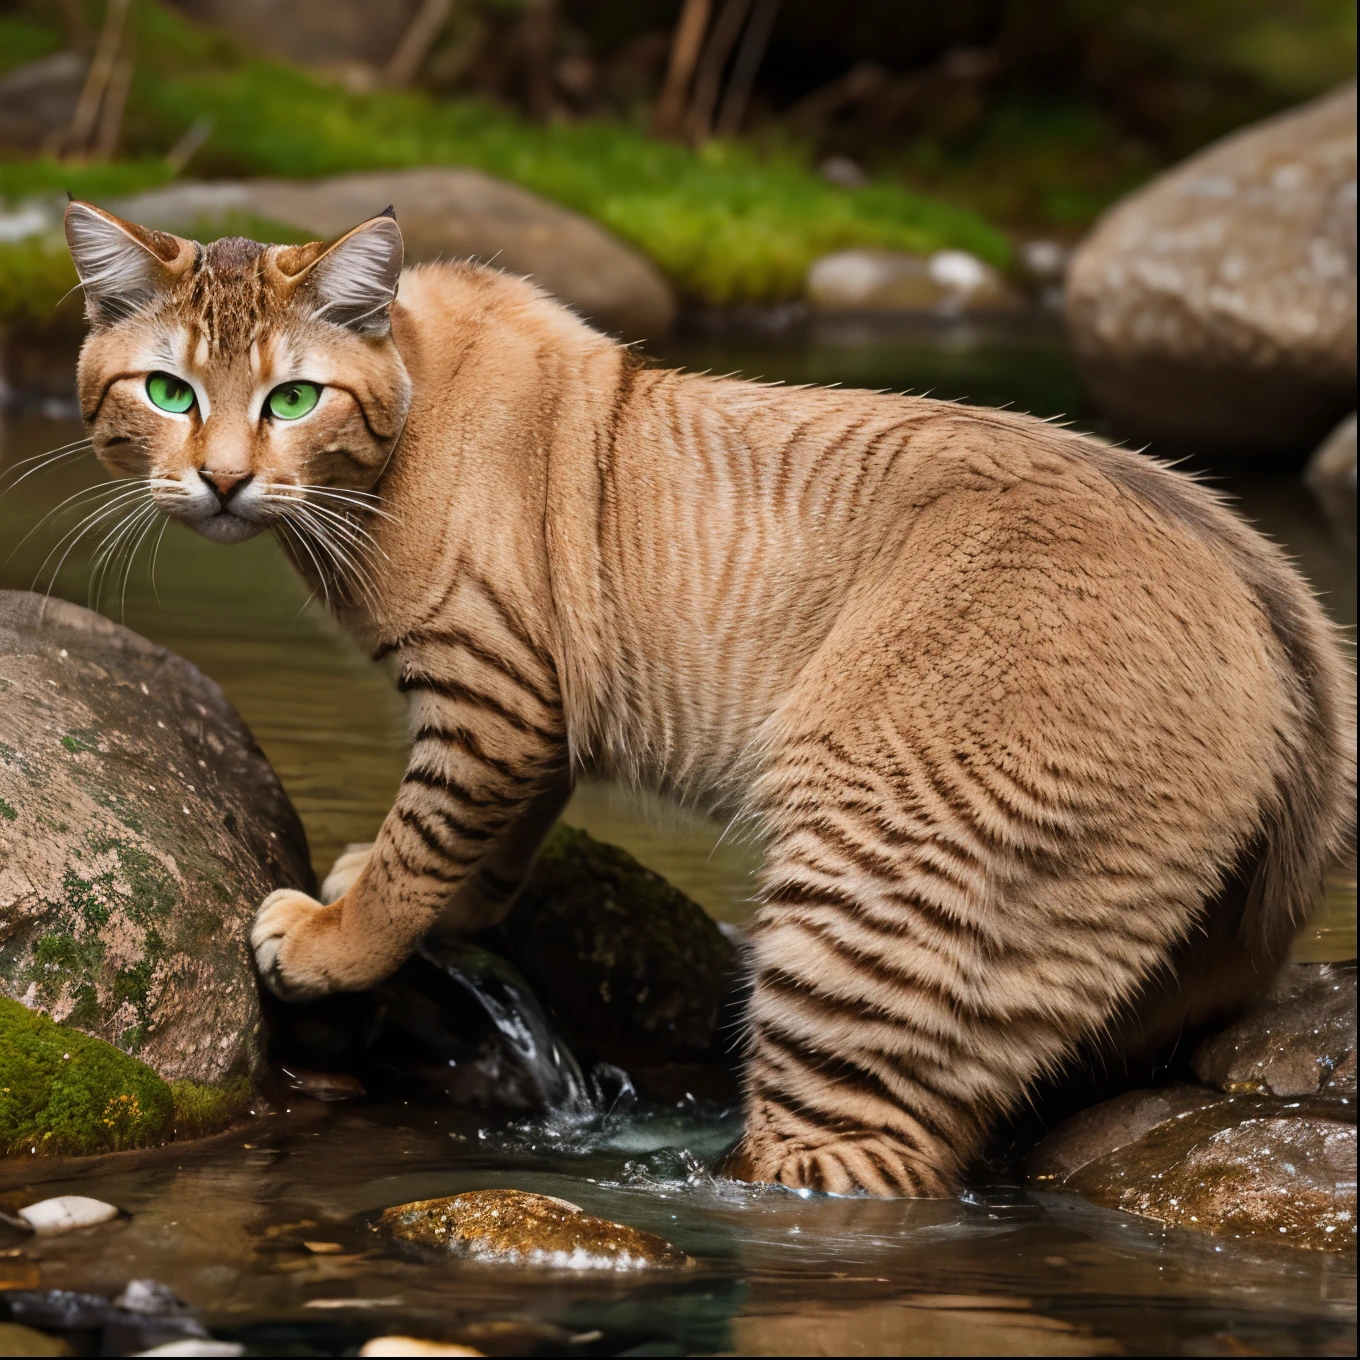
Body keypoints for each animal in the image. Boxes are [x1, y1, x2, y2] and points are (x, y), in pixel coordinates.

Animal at [61, 198, 1349, 1191]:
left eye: (290, 399)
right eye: (168, 391)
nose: (224, 481)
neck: (404, 407)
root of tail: (1277, 604)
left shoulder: (489, 689)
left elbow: (426, 838)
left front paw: (329, 939)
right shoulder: (540, 718)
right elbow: (486, 847)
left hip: (870, 884)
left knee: (845, 1163)